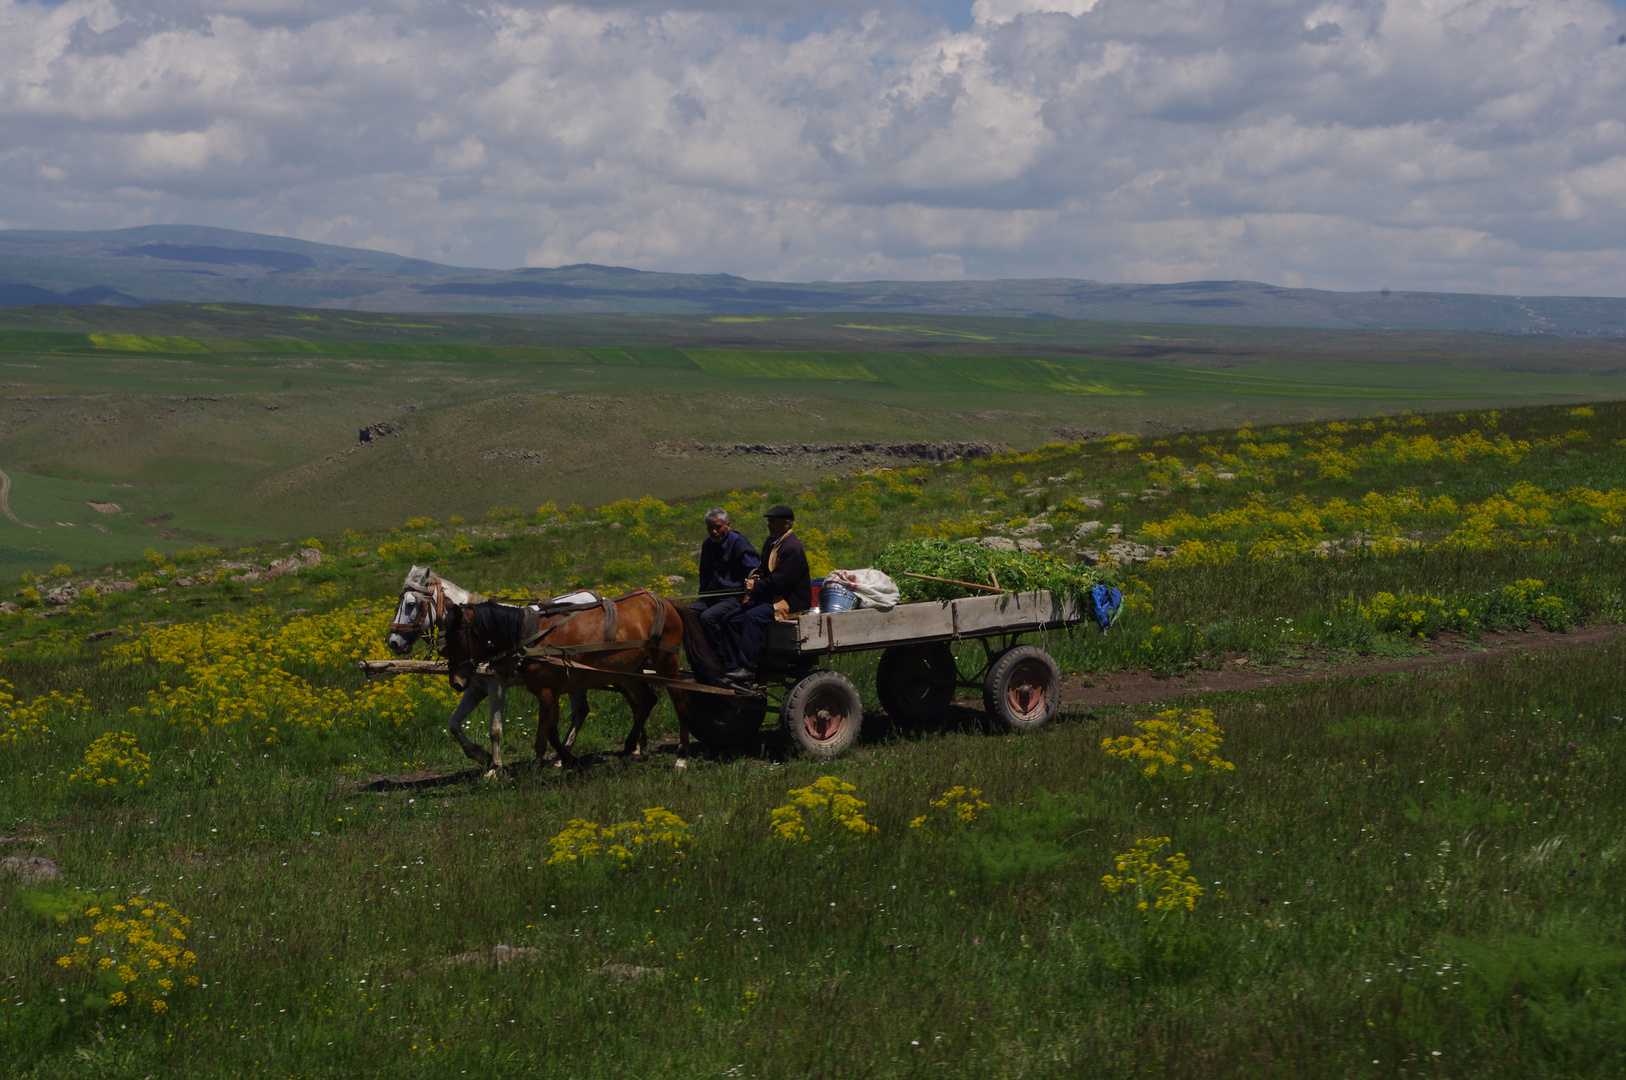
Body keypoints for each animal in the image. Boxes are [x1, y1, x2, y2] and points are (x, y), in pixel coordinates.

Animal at [385, 566, 604, 777]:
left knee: (579, 711)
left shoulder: (496, 685)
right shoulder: (475, 688)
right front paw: (482, 756)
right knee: (580, 711)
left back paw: (560, 759)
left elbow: (495, 729)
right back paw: (561, 758)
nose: (394, 642)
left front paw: (494, 768)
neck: (481, 633)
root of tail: (593, 598)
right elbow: (454, 724)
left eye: (411, 604)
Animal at [445, 592, 725, 767]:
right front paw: (569, 760)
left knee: (681, 705)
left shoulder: (546, 691)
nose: (456, 682)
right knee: (646, 702)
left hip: (666, 663)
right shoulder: (551, 691)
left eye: (456, 639)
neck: (530, 636)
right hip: (631, 670)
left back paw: (681, 757)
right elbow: (552, 732)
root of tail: (664, 600)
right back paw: (629, 748)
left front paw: (537, 768)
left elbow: (543, 735)